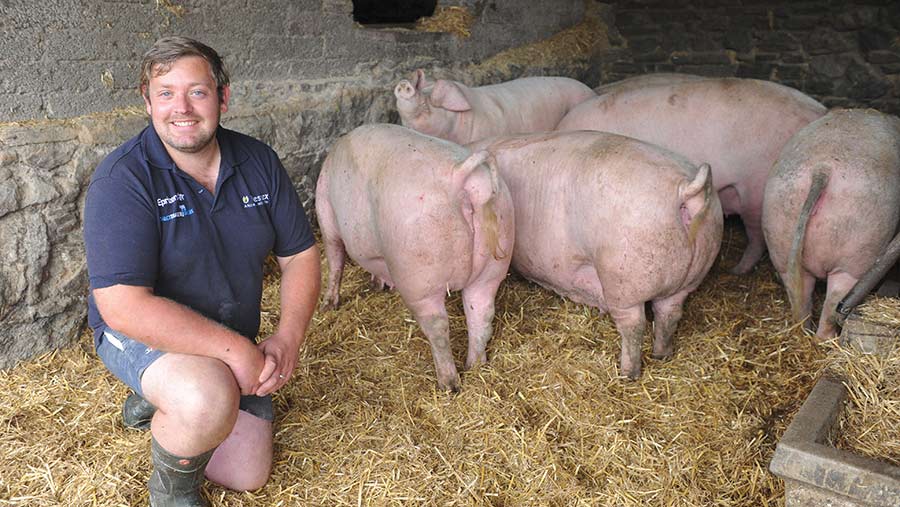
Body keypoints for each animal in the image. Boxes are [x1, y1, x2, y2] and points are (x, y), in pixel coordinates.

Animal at [314, 124, 512, 392]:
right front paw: (378, 284)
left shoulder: (325, 213)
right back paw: (476, 366)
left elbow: (335, 260)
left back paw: (448, 385)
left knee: (438, 326)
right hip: (493, 264)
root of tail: (461, 176)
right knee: (482, 314)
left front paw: (328, 305)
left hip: (419, 276)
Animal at [468, 131, 720, 380]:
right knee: (670, 314)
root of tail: (687, 190)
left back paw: (627, 374)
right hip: (689, 279)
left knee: (634, 326)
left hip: (622, 280)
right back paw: (662, 355)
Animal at [760, 110, 900, 342]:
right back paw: (826, 339)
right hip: (856, 249)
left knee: (800, 295)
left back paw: (804, 333)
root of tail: (822, 169)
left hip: (779, 229)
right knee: (834, 299)